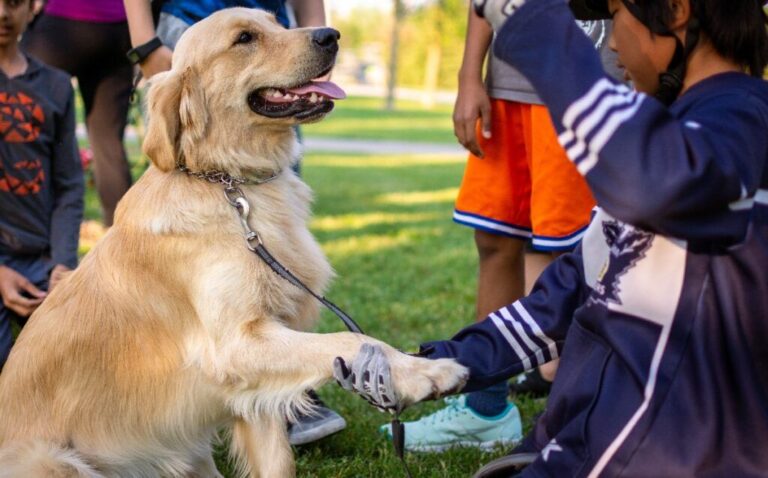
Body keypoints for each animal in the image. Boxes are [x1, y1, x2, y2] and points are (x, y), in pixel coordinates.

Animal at [0, 8, 468, 478]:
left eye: (277, 21)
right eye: (244, 38)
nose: (331, 35)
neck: (229, 182)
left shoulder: (255, 389)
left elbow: (278, 460)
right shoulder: (236, 345)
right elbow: (349, 340)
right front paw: (425, 373)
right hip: (56, 462)